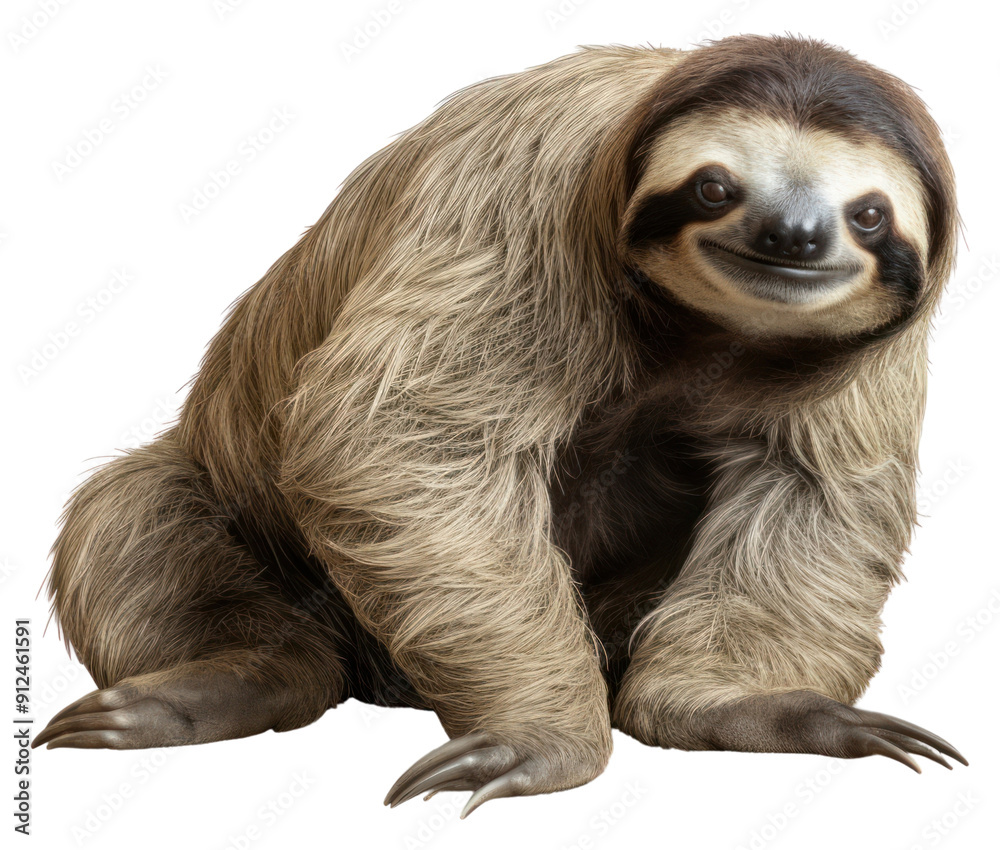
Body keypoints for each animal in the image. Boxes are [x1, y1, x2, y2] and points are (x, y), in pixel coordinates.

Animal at [34, 35, 965, 818]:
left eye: (868, 213)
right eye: (714, 186)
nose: (791, 233)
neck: (694, 332)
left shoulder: (871, 363)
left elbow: (811, 496)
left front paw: (753, 708)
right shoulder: (524, 196)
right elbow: (401, 437)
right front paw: (540, 736)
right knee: (132, 514)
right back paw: (230, 682)